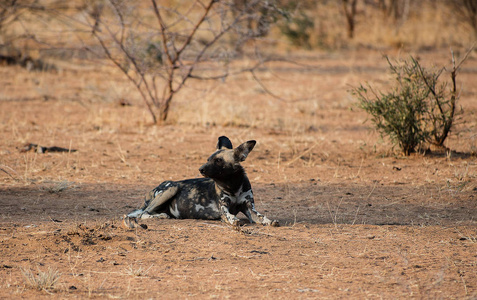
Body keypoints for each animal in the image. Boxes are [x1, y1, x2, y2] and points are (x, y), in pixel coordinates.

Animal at [123, 135, 278, 229]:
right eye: (208, 159)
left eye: (218, 160)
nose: (201, 169)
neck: (233, 185)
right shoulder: (224, 209)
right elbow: (230, 216)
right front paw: (234, 220)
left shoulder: (249, 207)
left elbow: (261, 216)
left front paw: (269, 221)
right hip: (172, 187)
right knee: (143, 213)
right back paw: (162, 216)